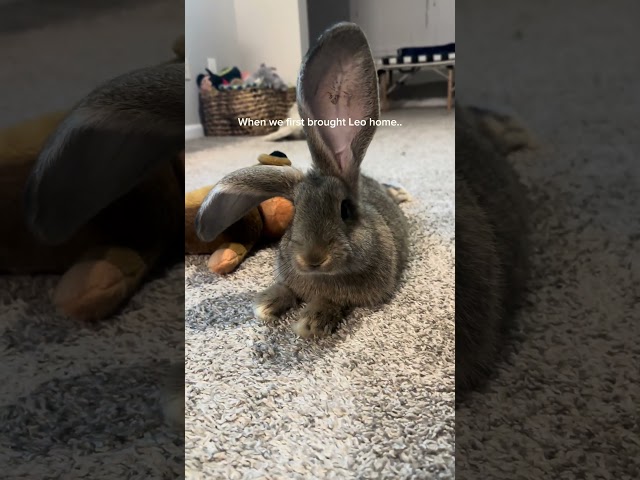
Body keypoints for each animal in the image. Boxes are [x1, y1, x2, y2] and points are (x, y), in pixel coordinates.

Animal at [192, 22, 410, 338]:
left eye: (345, 210)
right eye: (295, 213)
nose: (313, 258)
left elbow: (333, 302)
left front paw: (311, 321)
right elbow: (285, 288)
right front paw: (266, 304)